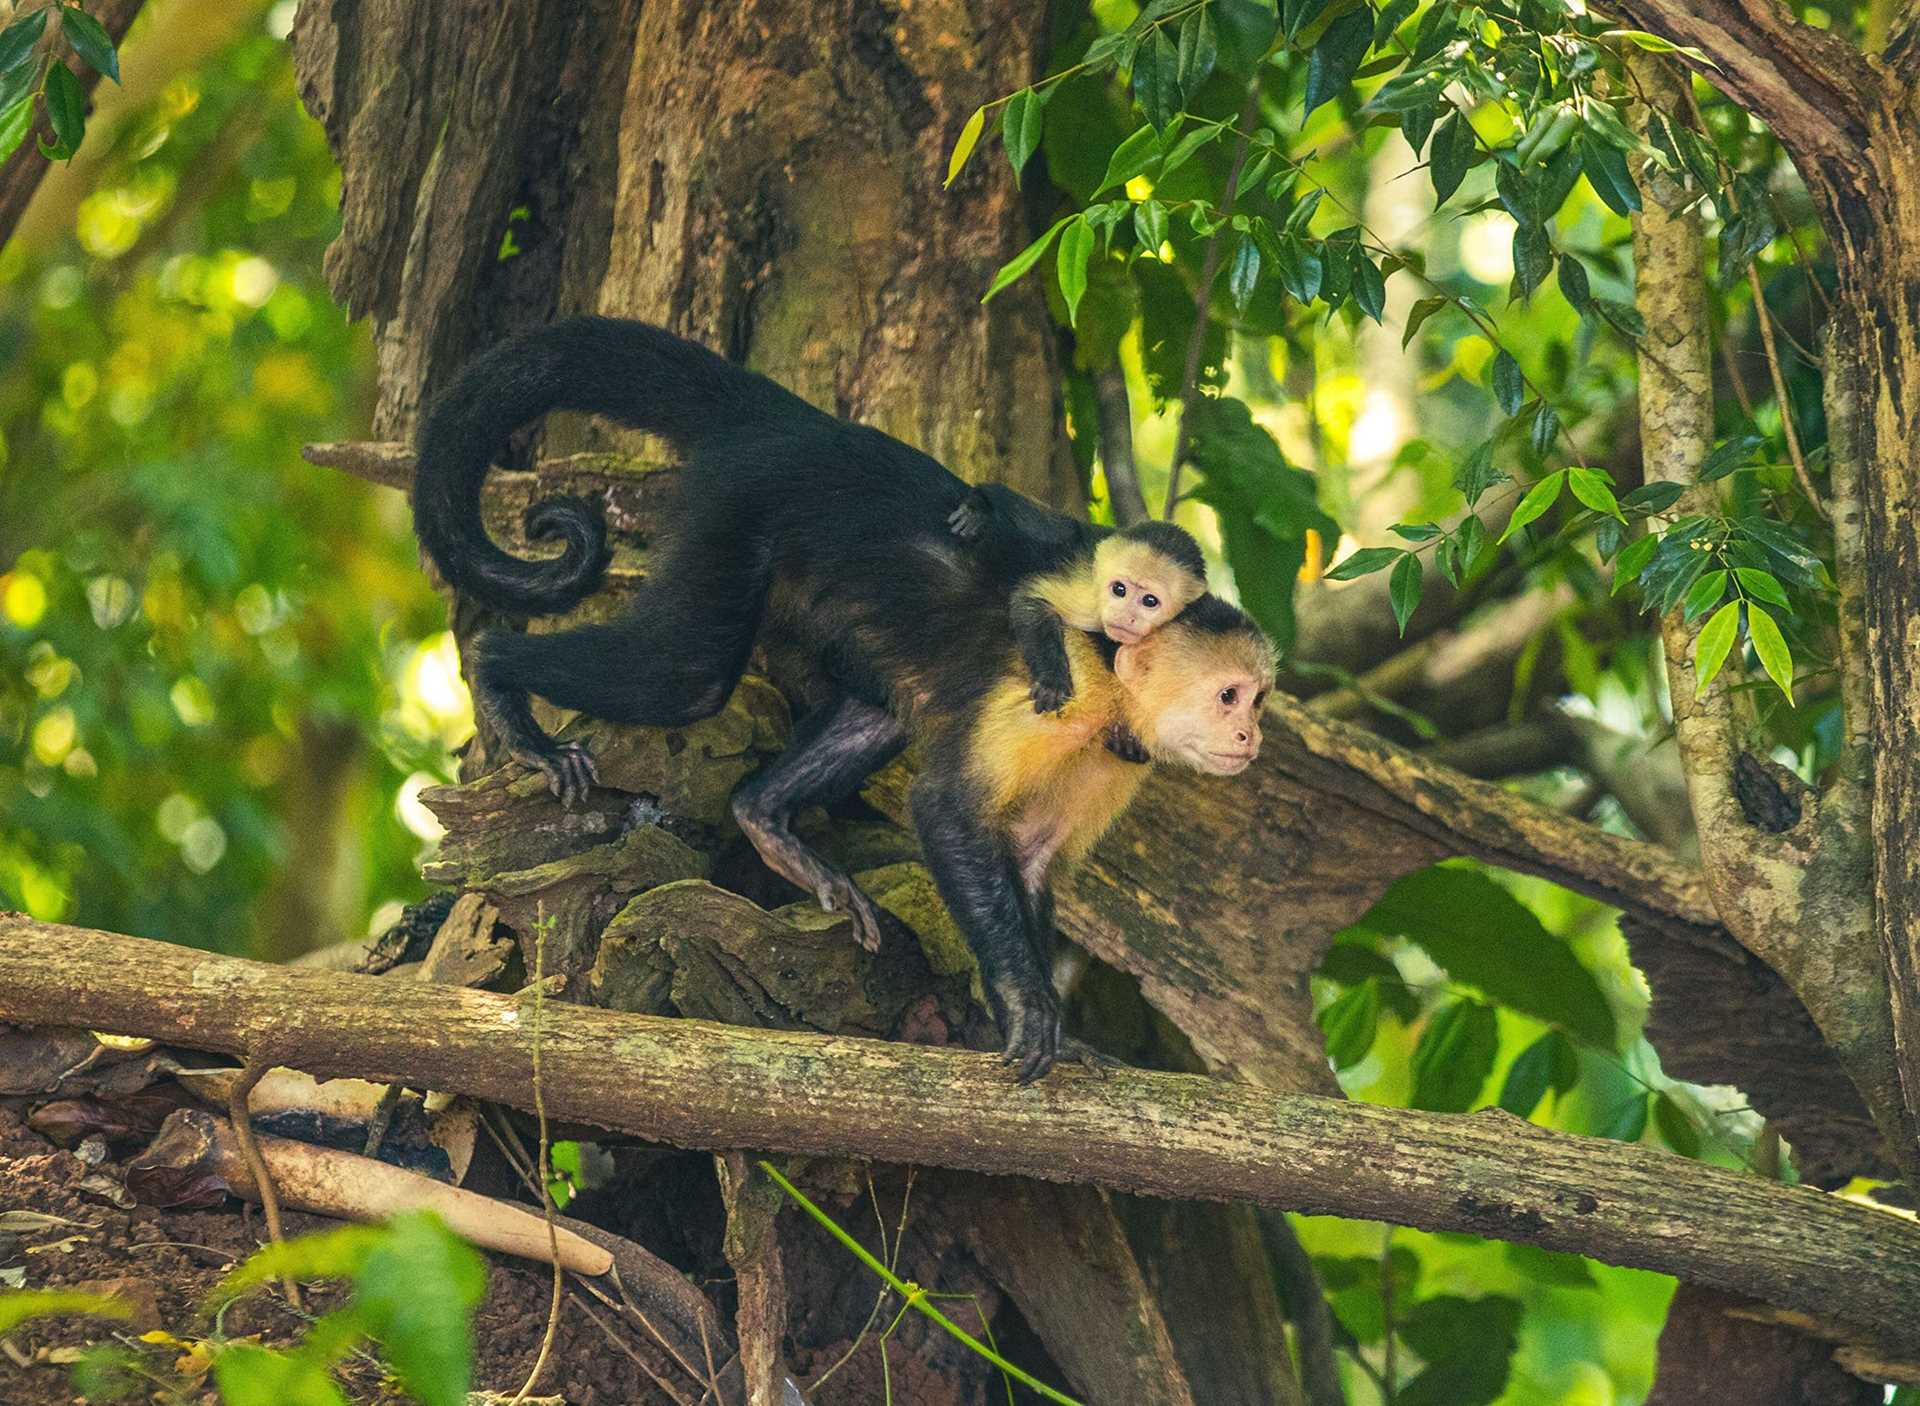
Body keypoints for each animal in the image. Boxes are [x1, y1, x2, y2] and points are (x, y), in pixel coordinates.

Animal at [412, 318, 1267, 1083]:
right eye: (1229, 696)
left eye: (1259, 701)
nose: (1252, 739)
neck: (1116, 688)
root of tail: (804, 427)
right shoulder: (1064, 691)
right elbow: (947, 813)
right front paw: (1026, 1010)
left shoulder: (1117, 758)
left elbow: (1025, 856)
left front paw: (1059, 1029)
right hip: (740, 507)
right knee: (686, 675)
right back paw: (501, 680)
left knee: (875, 713)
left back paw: (766, 818)